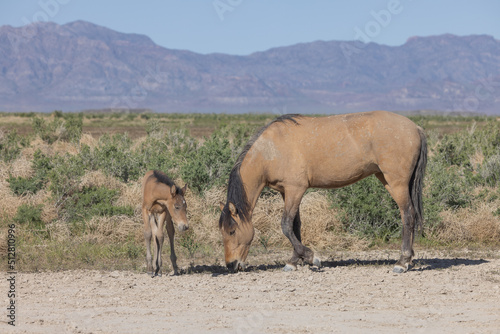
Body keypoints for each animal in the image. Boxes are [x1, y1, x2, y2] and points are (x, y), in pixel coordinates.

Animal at [219, 111, 426, 272]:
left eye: (231, 231)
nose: (231, 265)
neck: (270, 151)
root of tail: (416, 127)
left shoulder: (296, 189)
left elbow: (286, 225)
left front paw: (312, 258)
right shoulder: (287, 192)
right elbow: (295, 226)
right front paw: (294, 261)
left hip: (397, 183)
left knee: (408, 215)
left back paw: (402, 262)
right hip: (387, 179)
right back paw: (409, 260)